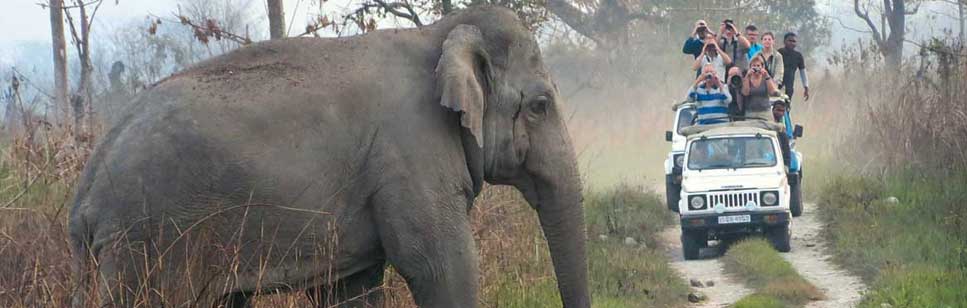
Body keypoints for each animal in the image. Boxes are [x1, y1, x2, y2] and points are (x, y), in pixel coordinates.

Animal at [68, 5, 588, 308]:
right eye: (540, 106)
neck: (438, 33)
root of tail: (84, 193)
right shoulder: (408, 151)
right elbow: (440, 266)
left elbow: (352, 286)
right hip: (147, 242)